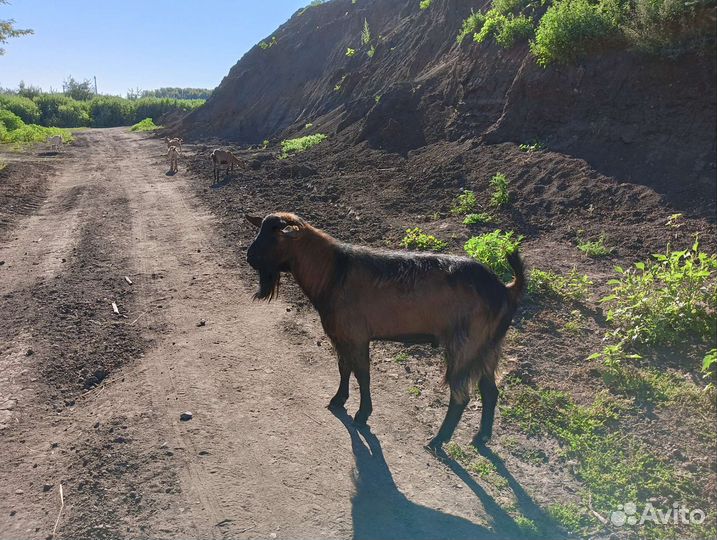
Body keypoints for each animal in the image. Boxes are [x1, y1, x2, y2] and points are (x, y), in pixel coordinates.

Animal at [246, 212, 526, 450]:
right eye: (260, 229)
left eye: (276, 235)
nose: (250, 257)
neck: (334, 272)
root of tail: (506, 290)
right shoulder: (340, 335)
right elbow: (343, 367)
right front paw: (338, 399)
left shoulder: (357, 335)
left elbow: (362, 374)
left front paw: (362, 414)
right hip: (489, 347)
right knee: (490, 391)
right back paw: (481, 437)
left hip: (466, 345)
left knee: (461, 396)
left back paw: (438, 441)